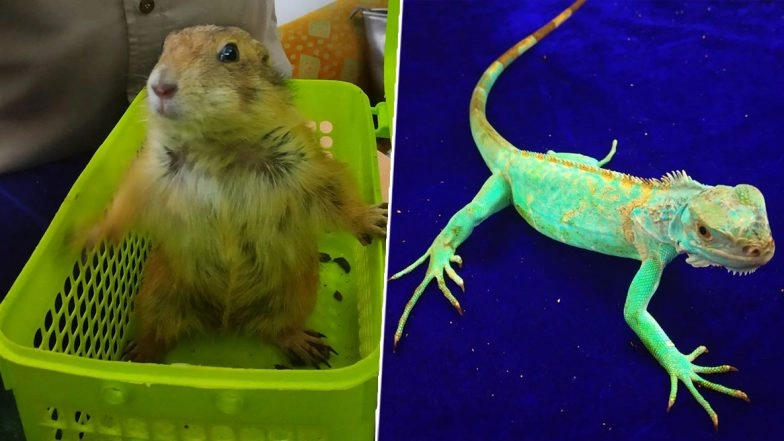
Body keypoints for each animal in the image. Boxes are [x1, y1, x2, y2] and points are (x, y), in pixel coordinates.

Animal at [77, 25, 387, 367]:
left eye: (230, 53)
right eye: (165, 46)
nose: (160, 87)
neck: (217, 147)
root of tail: (225, 320)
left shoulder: (301, 158)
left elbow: (332, 186)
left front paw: (375, 218)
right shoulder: (151, 170)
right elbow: (128, 200)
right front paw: (87, 237)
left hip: (295, 294)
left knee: (278, 329)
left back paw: (306, 346)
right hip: (157, 296)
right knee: (159, 334)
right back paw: (140, 354)